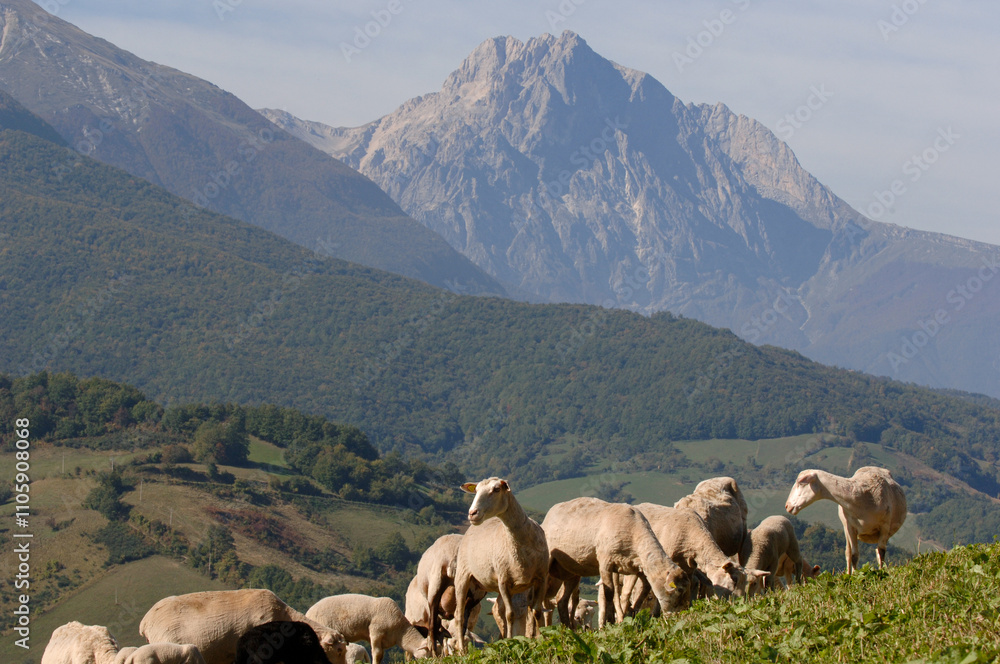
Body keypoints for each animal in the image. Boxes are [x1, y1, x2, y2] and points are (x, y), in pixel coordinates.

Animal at [452, 477, 549, 653]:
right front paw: (510, 642)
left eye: (497, 489)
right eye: (476, 491)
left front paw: (541, 640)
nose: (472, 513)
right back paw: (462, 651)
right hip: (462, 576)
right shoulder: (504, 581)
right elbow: (510, 614)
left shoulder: (541, 578)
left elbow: (536, 612)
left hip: (478, 588)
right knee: (459, 615)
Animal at [541, 497, 690, 629]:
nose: (681, 617)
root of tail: (551, 512)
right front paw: (609, 622)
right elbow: (609, 593)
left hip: (571, 570)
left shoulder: (636, 566)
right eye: (679, 590)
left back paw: (568, 629)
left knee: (561, 600)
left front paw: (632, 613)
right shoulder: (605, 562)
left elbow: (643, 590)